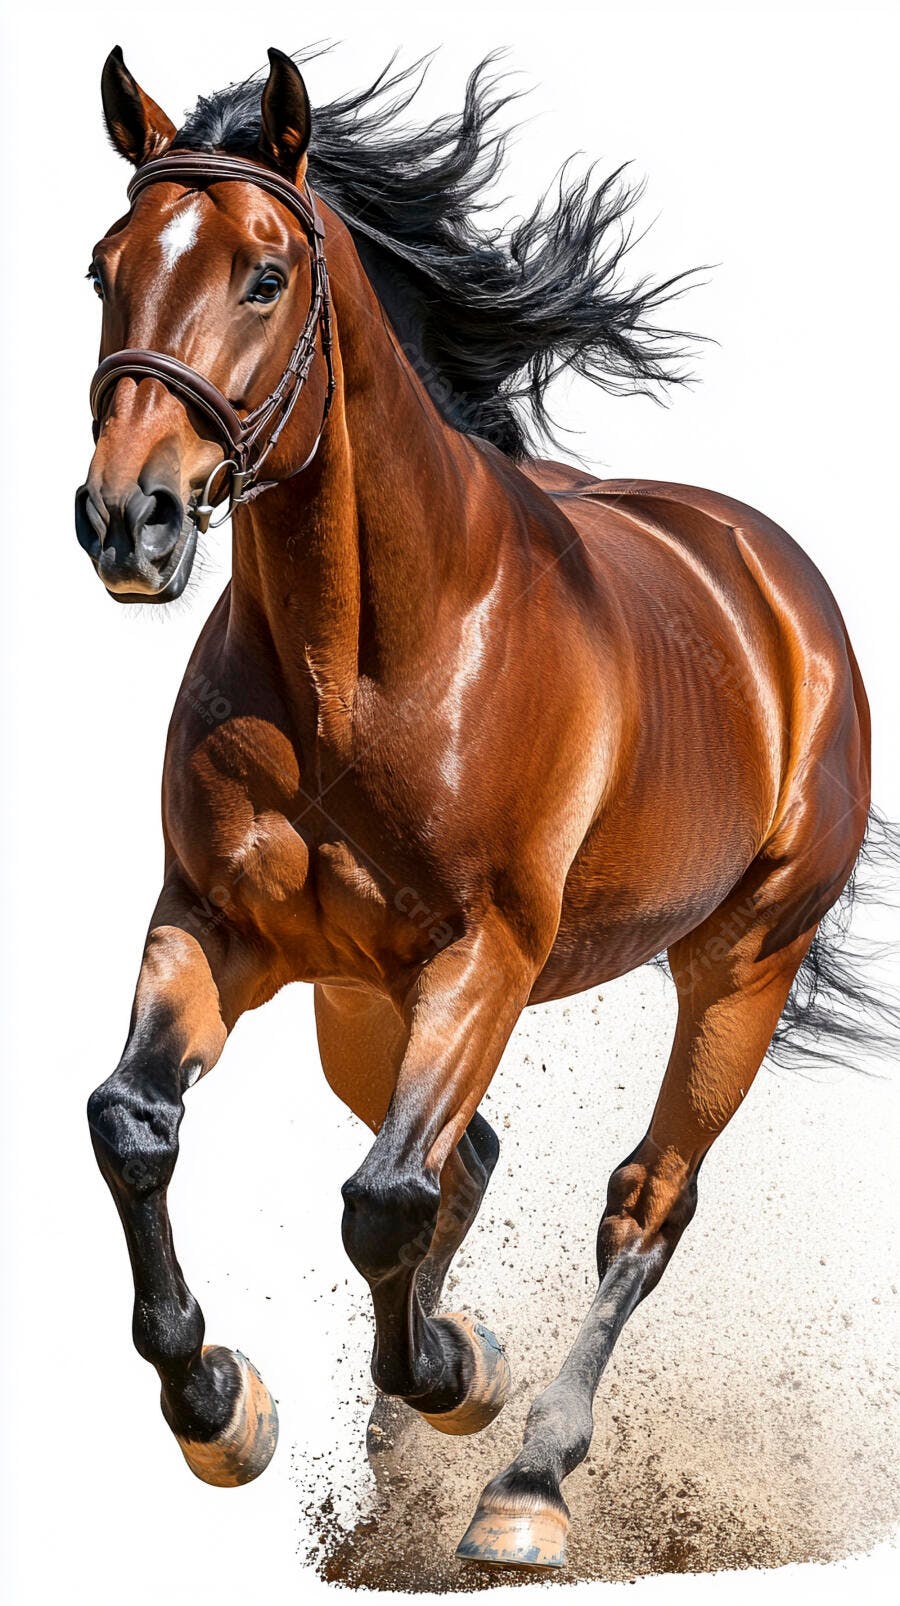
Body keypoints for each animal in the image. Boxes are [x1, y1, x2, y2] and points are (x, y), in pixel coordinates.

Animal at [76, 45, 879, 1571]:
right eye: (104, 264)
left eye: (266, 273)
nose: (126, 520)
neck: (364, 662)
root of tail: (776, 587)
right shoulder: (213, 922)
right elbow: (135, 1123)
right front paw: (221, 1404)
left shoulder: (486, 955)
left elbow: (385, 1199)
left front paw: (453, 1376)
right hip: (358, 1000)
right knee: (470, 1152)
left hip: (741, 962)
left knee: (641, 1198)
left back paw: (525, 1481)